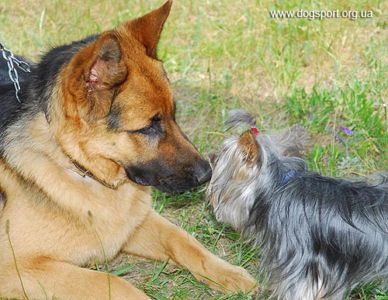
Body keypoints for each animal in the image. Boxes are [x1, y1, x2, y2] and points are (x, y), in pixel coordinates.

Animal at [0, 1, 256, 298]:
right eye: (148, 127)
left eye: (173, 114)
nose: (207, 174)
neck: (75, 164)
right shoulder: (16, 267)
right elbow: (113, 282)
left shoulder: (136, 222)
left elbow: (182, 239)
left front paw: (228, 272)